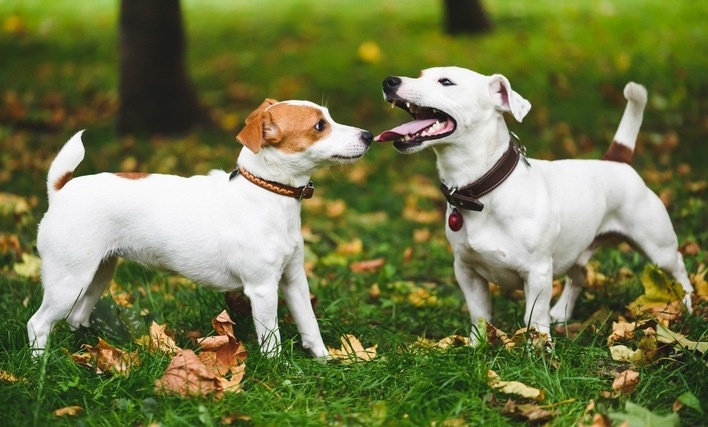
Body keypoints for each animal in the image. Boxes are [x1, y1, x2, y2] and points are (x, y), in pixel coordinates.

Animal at [27, 99, 374, 358]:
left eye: (328, 117)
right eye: (319, 126)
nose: (369, 135)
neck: (266, 192)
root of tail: (61, 188)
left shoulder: (293, 279)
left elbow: (309, 325)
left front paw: (325, 361)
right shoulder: (263, 288)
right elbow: (271, 340)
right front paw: (279, 374)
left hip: (97, 274)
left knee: (75, 316)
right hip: (69, 280)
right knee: (38, 323)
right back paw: (39, 366)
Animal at [378, 67, 696, 344]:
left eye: (446, 82)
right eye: (420, 74)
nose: (389, 81)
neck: (481, 191)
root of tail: (617, 160)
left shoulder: (538, 272)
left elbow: (534, 318)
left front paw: (539, 351)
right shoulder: (466, 271)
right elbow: (479, 314)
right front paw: (477, 346)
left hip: (657, 247)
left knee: (678, 267)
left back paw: (688, 304)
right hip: (576, 247)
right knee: (579, 275)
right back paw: (562, 312)